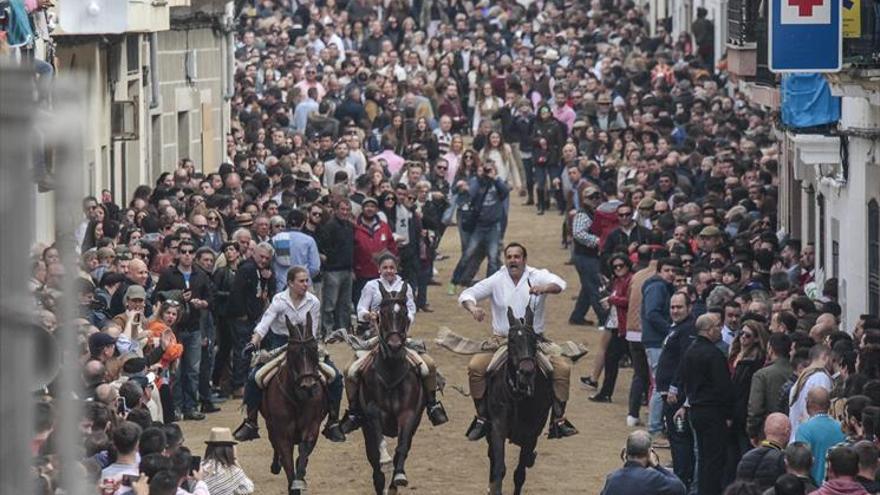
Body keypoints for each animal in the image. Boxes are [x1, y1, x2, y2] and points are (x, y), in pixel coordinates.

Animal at [262, 316, 332, 494]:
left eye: (314, 349)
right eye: (292, 352)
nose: (308, 386)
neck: (297, 399)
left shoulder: (312, 427)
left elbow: (303, 451)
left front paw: (300, 479)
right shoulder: (282, 432)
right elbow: (286, 459)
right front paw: (292, 484)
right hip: (269, 424)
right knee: (273, 443)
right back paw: (275, 465)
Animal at [356, 286, 428, 495]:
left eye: (404, 313)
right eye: (382, 313)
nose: (395, 345)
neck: (391, 372)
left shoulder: (409, 414)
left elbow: (402, 447)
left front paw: (400, 476)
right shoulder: (371, 413)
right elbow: (378, 444)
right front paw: (385, 460)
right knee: (374, 462)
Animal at [482, 306, 552, 495]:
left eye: (534, 339)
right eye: (512, 340)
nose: (526, 371)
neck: (519, 397)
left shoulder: (531, 433)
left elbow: (520, 473)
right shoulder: (498, 427)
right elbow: (499, 467)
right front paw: (494, 487)